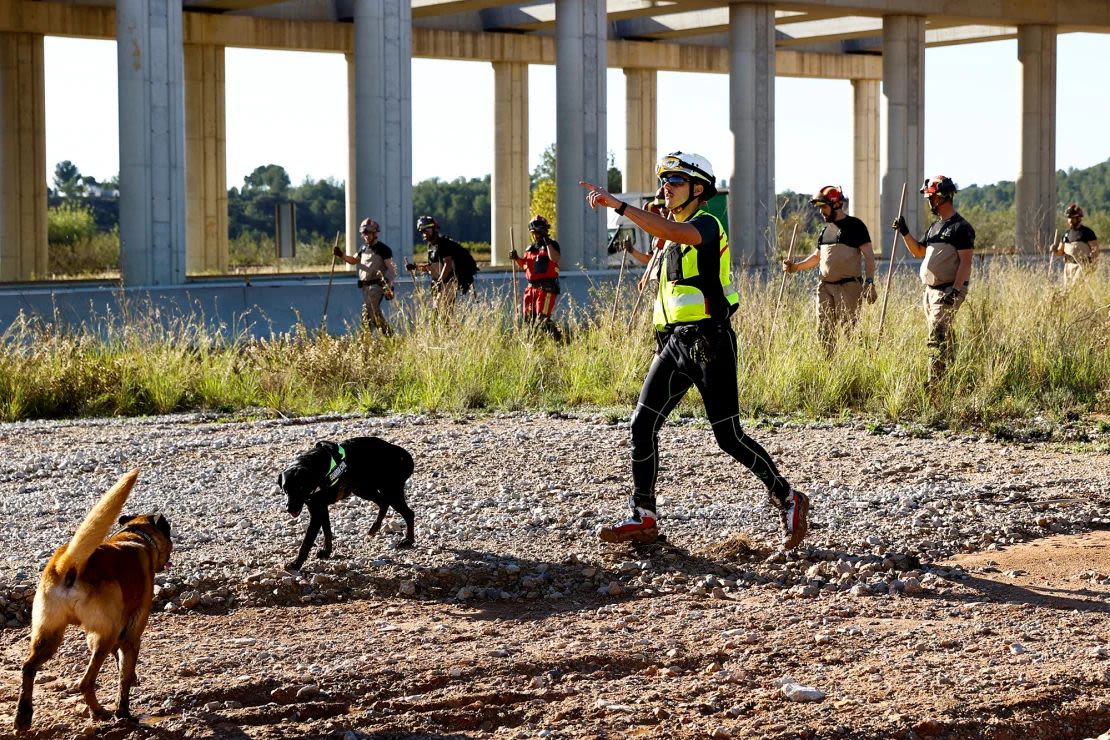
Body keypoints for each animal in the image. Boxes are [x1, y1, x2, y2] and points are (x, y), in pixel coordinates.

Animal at [14, 468, 170, 727]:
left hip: (48, 633)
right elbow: (124, 677)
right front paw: (123, 711)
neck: (135, 536)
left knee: (28, 668)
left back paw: (23, 716)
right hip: (103, 637)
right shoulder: (130, 633)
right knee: (85, 682)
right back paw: (99, 712)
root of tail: (70, 564)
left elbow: (121, 666)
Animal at [277, 437, 417, 572]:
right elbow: (327, 531)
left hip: (390, 492)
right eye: (285, 489)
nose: (289, 508)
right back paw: (374, 528)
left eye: (300, 487)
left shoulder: (318, 507)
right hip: (363, 490)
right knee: (383, 503)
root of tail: (398, 451)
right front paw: (327, 551)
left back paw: (408, 540)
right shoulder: (320, 507)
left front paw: (296, 564)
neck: (318, 466)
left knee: (409, 513)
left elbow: (307, 541)